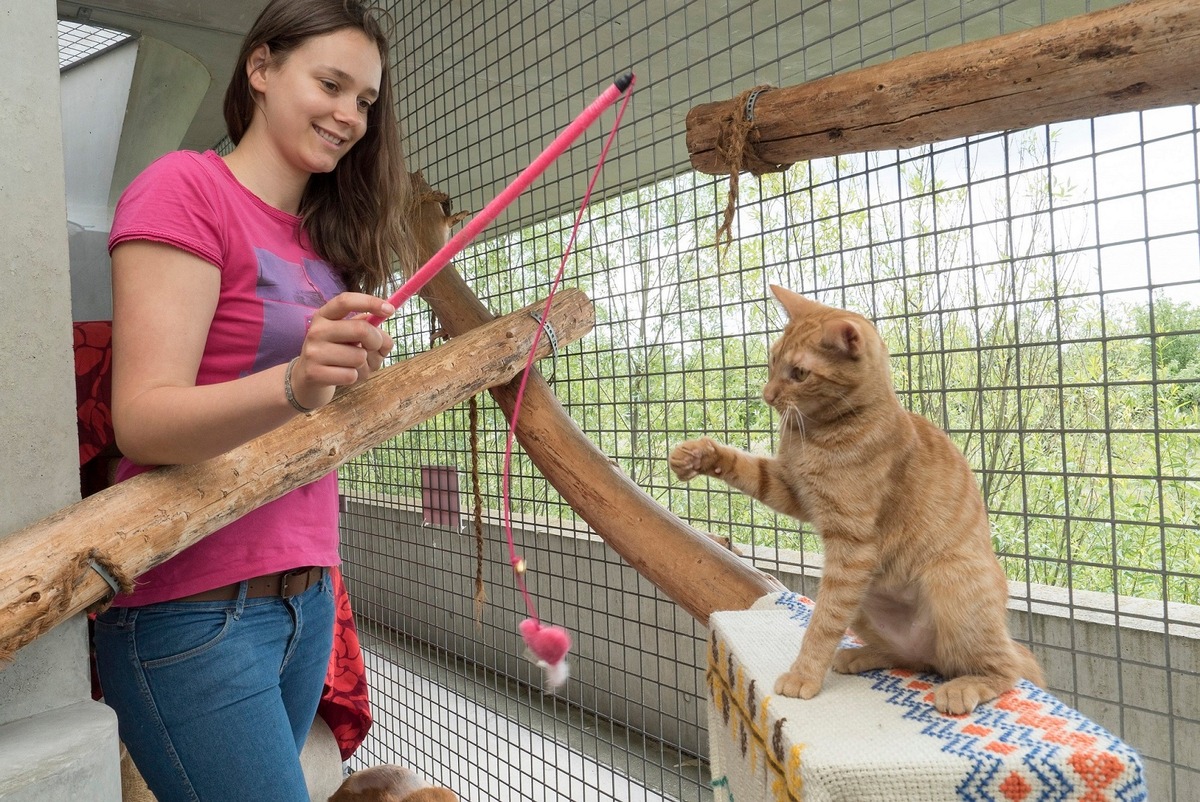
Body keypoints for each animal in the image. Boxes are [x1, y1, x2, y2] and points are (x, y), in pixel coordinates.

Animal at [672, 284, 1046, 710]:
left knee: (1003, 668)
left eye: (799, 373)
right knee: (912, 658)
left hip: (949, 581)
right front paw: (699, 455)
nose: (767, 396)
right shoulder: (790, 489)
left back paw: (964, 686)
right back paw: (861, 655)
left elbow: (823, 622)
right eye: (771, 361)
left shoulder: (852, 547)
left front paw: (804, 674)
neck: (817, 433)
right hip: (867, 603)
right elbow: (747, 468)